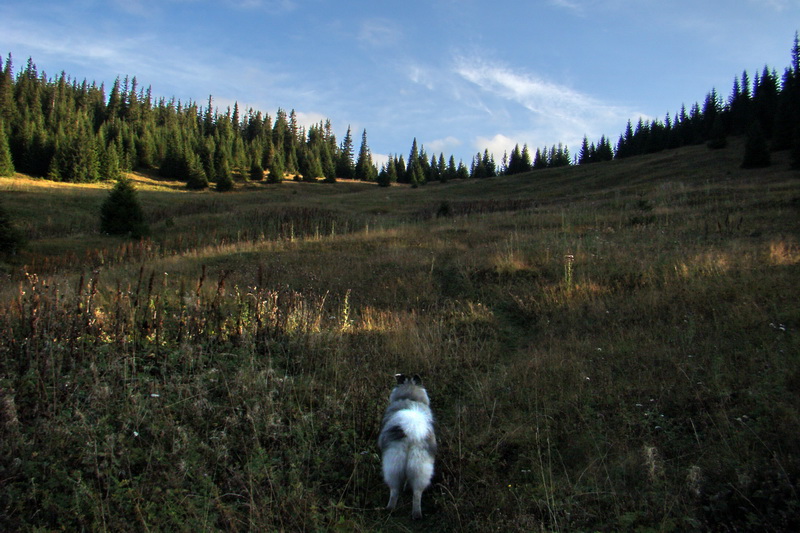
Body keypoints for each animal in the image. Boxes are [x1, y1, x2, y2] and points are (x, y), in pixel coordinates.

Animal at [376, 372, 434, 516]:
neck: (410, 396)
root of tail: (412, 433)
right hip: (421, 467)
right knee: (417, 493)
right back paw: (416, 514)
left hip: (392, 466)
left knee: (394, 491)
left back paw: (390, 508)